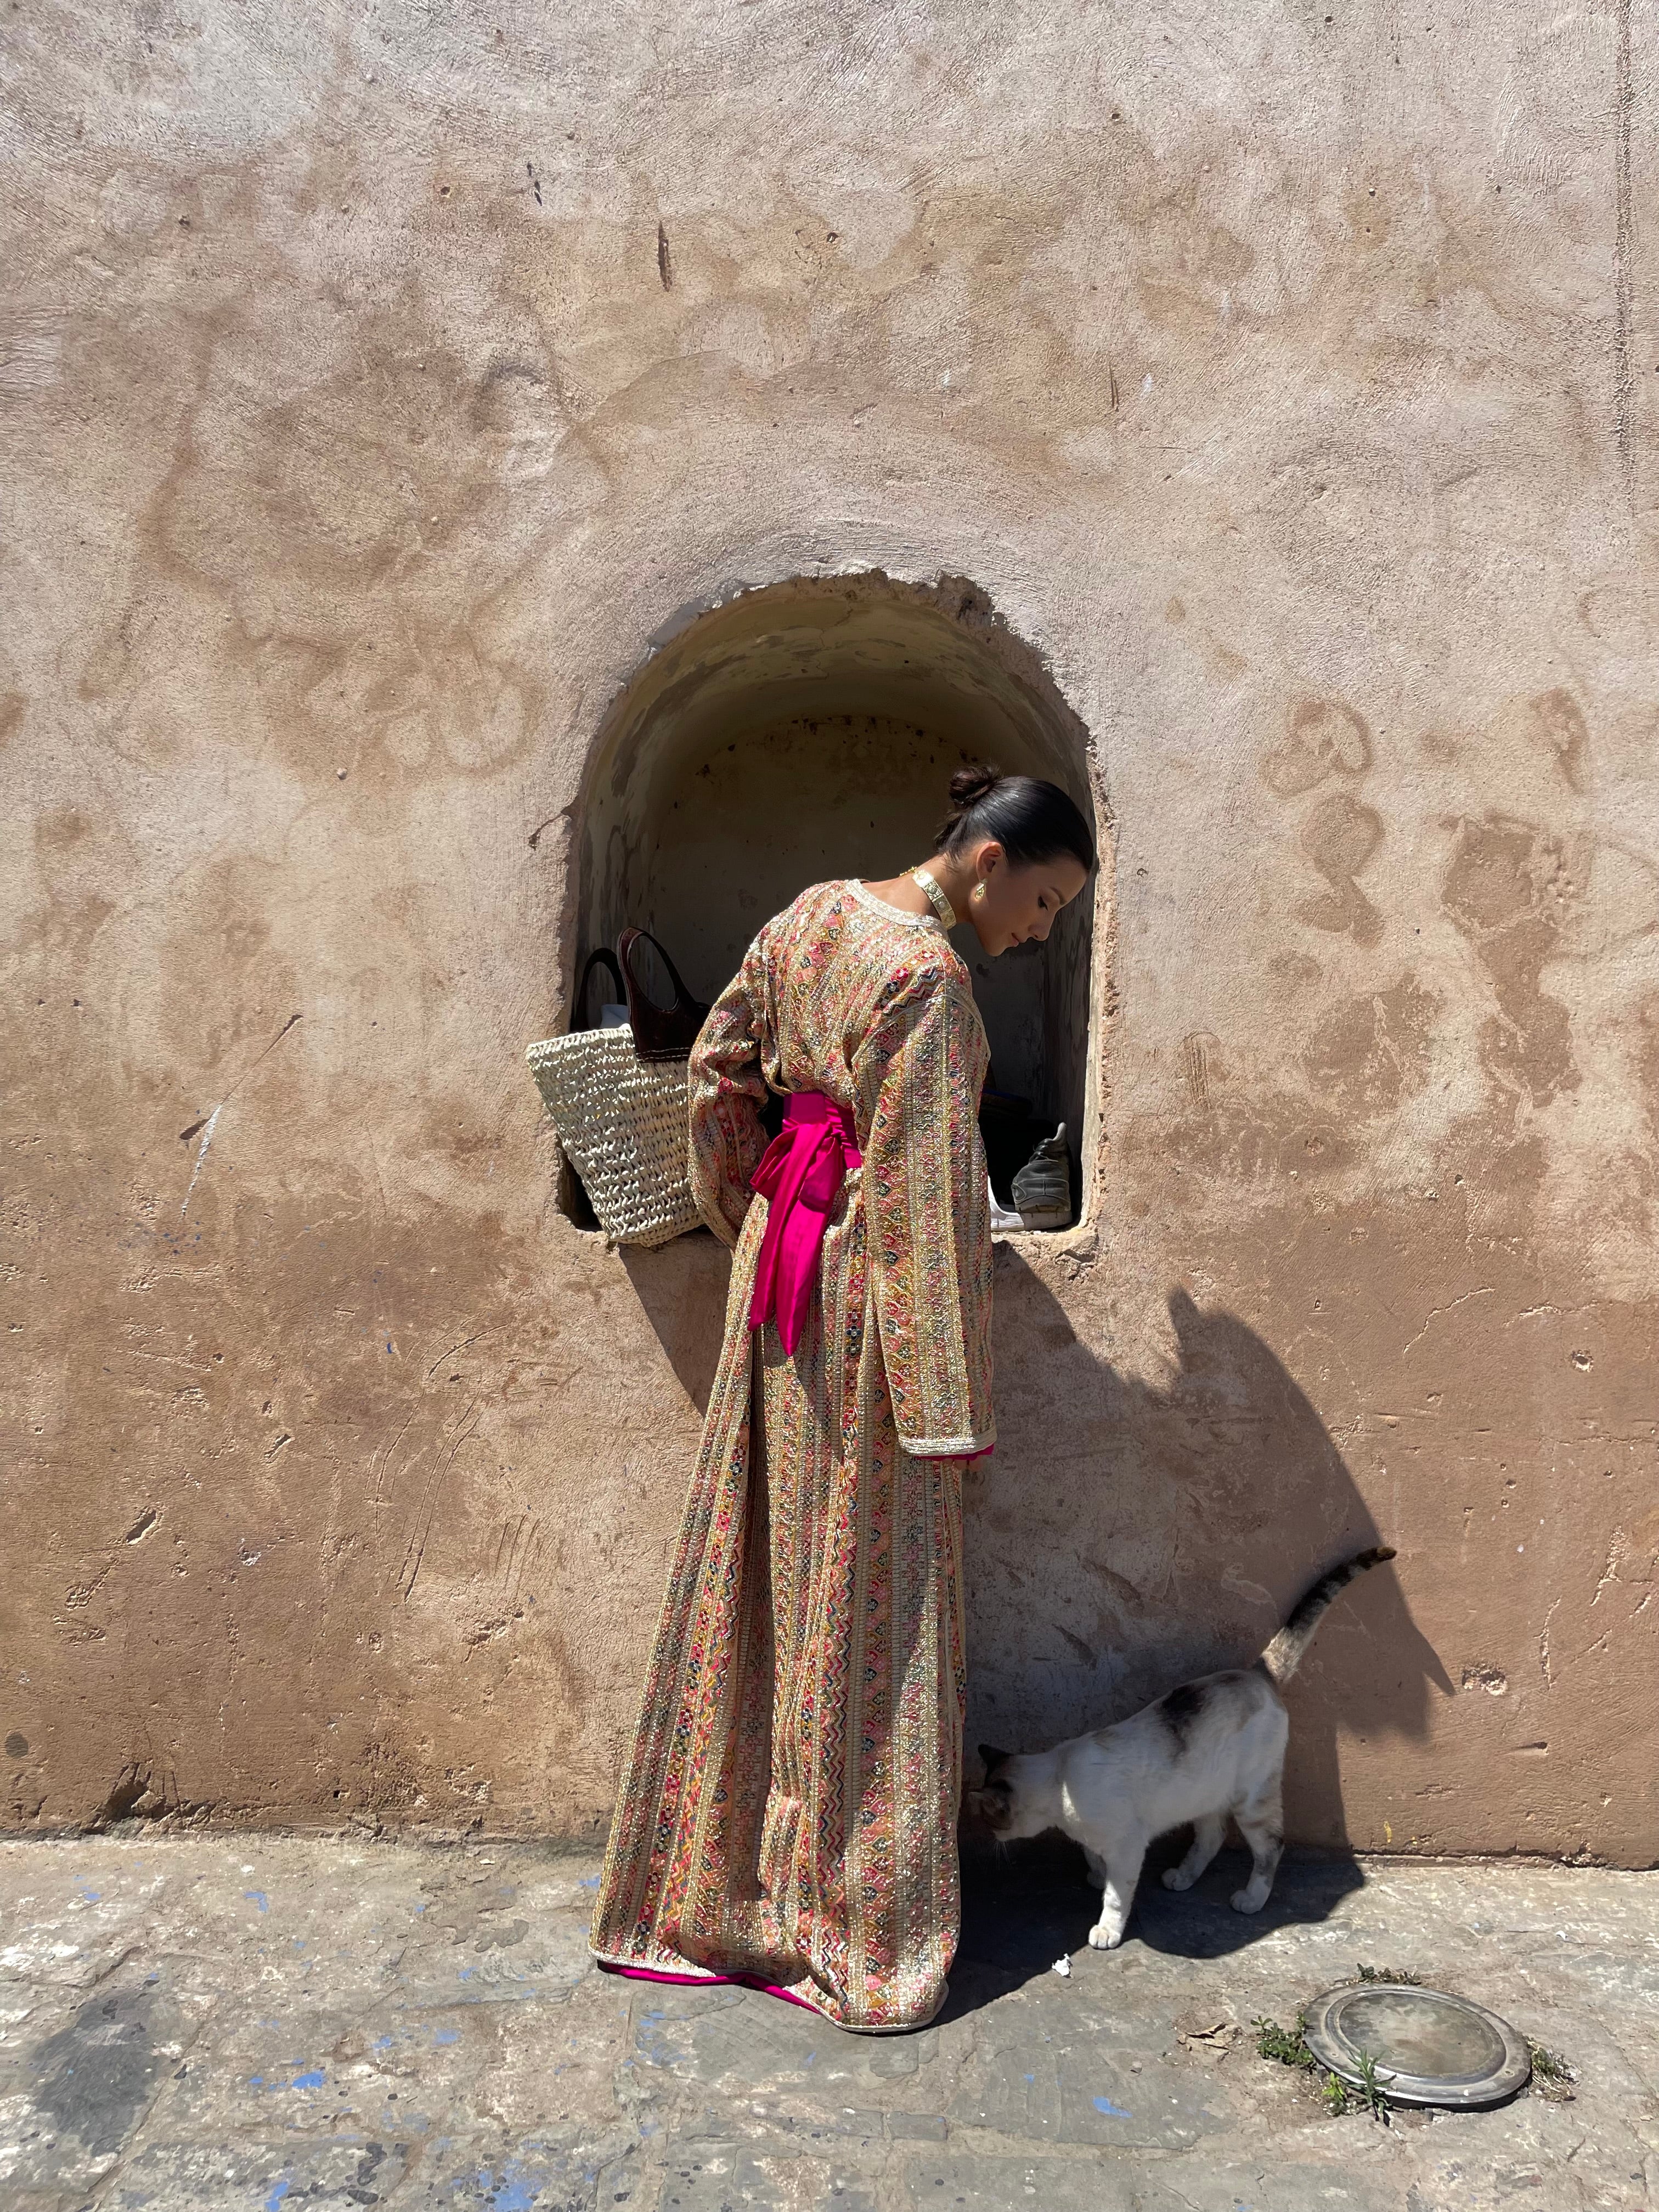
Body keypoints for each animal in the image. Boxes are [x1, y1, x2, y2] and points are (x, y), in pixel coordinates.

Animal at [982, 1548, 1398, 1946]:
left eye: (990, 1819)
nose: (991, 1838)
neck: (1061, 1782)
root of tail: (1257, 1671)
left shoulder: (1127, 1848)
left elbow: (1116, 1897)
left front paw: (1107, 1929)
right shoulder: (1098, 1842)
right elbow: (1095, 1860)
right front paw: (1096, 1877)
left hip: (1251, 1800)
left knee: (1271, 1846)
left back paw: (1251, 1899)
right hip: (1205, 1793)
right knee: (1212, 1837)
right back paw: (1182, 1877)